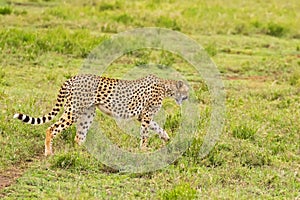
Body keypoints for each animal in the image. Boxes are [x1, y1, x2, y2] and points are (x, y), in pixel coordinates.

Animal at [14, 74, 190, 156]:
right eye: (186, 90)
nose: (188, 97)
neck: (165, 87)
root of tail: (73, 78)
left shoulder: (142, 116)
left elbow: (157, 127)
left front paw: (166, 137)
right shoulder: (145, 115)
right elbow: (146, 133)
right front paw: (144, 149)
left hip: (87, 114)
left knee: (78, 137)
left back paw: (85, 153)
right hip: (73, 111)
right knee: (52, 128)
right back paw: (49, 152)